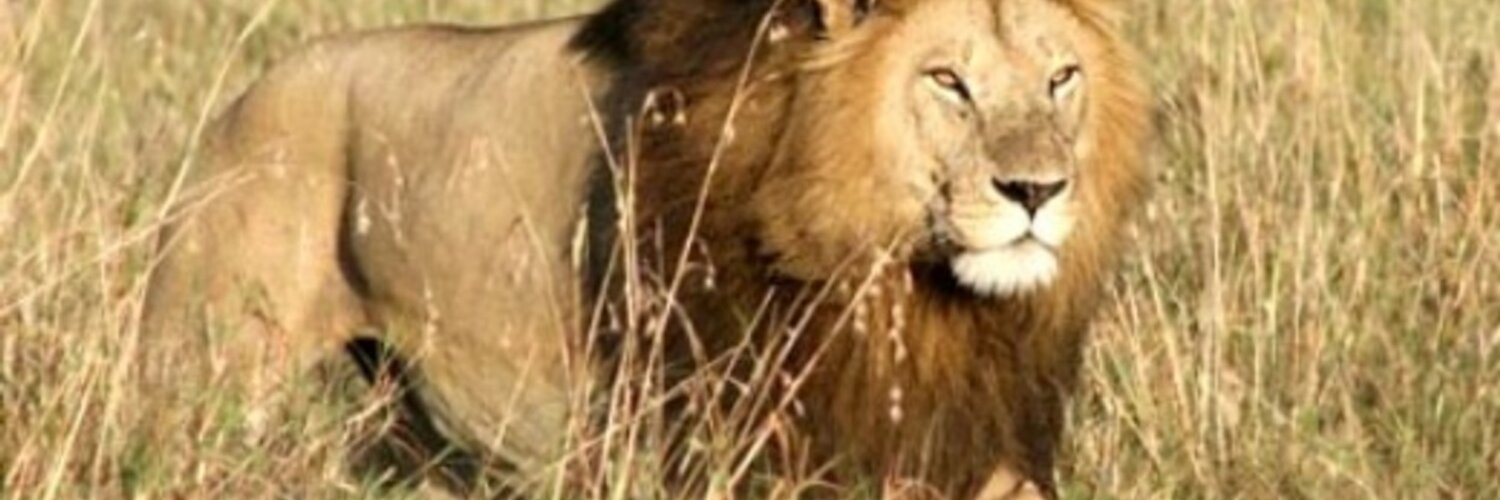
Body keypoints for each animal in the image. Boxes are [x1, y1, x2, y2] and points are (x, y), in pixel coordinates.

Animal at [141, 0, 1148, 498]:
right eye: (947, 81)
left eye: (1061, 78)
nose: (1037, 192)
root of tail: (239, 101)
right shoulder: (737, 440)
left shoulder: (970, 435)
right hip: (208, 370)